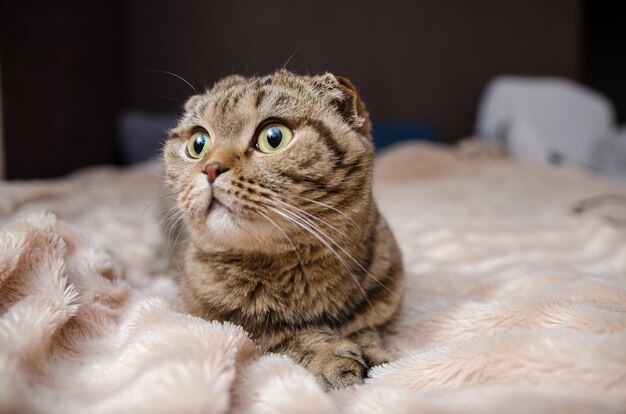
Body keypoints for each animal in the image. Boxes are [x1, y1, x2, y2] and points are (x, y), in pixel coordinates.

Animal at [163, 69, 402, 390]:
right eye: (198, 143)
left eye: (273, 138)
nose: (210, 168)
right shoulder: (224, 321)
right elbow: (286, 336)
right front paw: (331, 356)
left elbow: (366, 328)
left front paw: (375, 355)